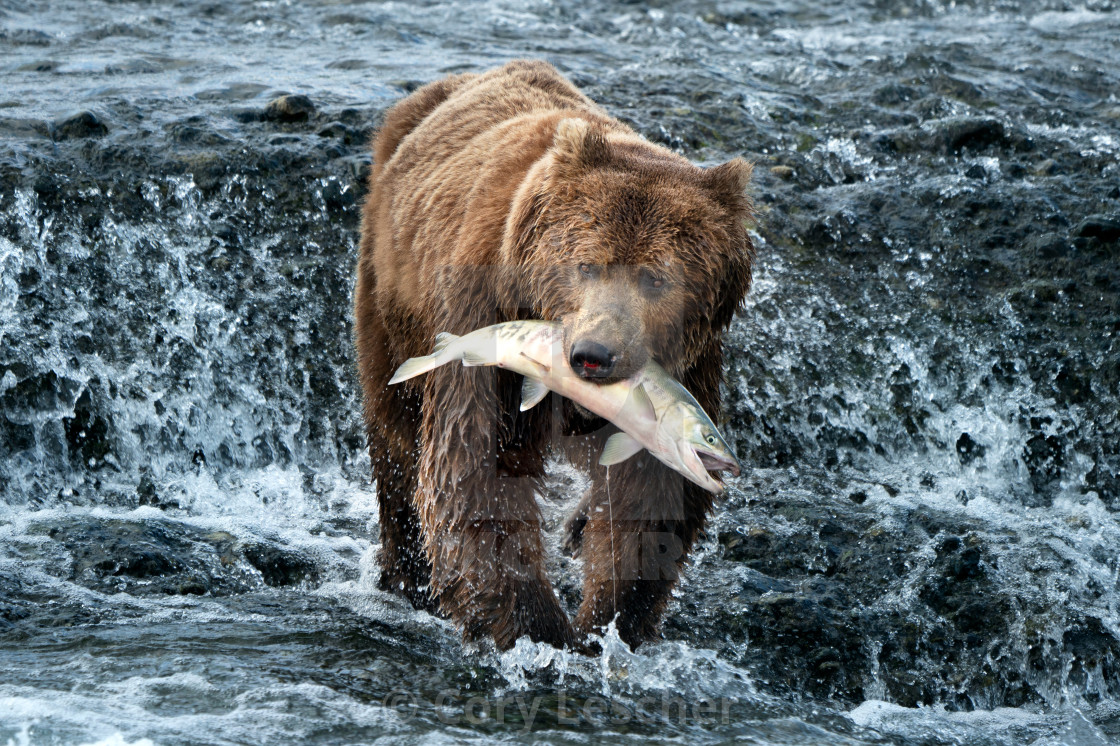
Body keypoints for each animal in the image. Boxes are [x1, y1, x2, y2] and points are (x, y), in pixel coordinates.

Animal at [353, 61, 757, 649]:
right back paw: (405, 574)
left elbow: (648, 498)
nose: (593, 355)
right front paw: (537, 629)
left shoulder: (691, 365)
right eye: (586, 265)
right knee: (397, 430)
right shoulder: (483, 318)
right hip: (391, 291)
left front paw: (608, 619)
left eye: (656, 278)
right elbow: (475, 473)